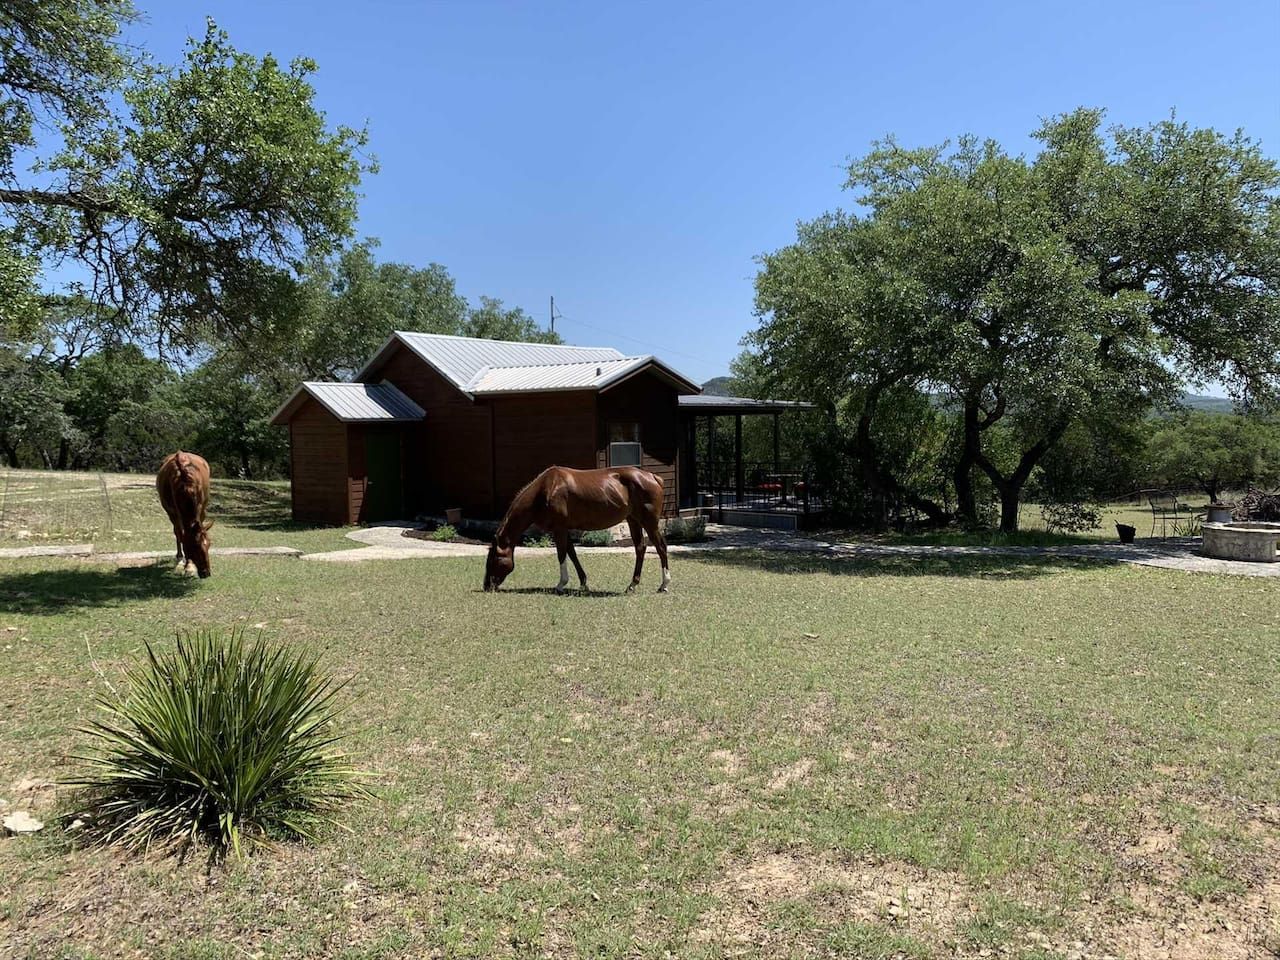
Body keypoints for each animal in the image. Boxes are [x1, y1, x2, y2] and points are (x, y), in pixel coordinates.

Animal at [483, 465, 671, 594]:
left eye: (492, 558)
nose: (486, 585)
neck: (546, 490)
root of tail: (653, 477)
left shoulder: (559, 528)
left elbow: (561, 554)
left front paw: (561, 584)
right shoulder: (564, 528)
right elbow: (572, 553)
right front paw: (583, 583)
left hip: (649, 522)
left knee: (661, 547)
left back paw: (664, 584)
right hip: (633, 520)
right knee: (640, 548)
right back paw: (632, 585)